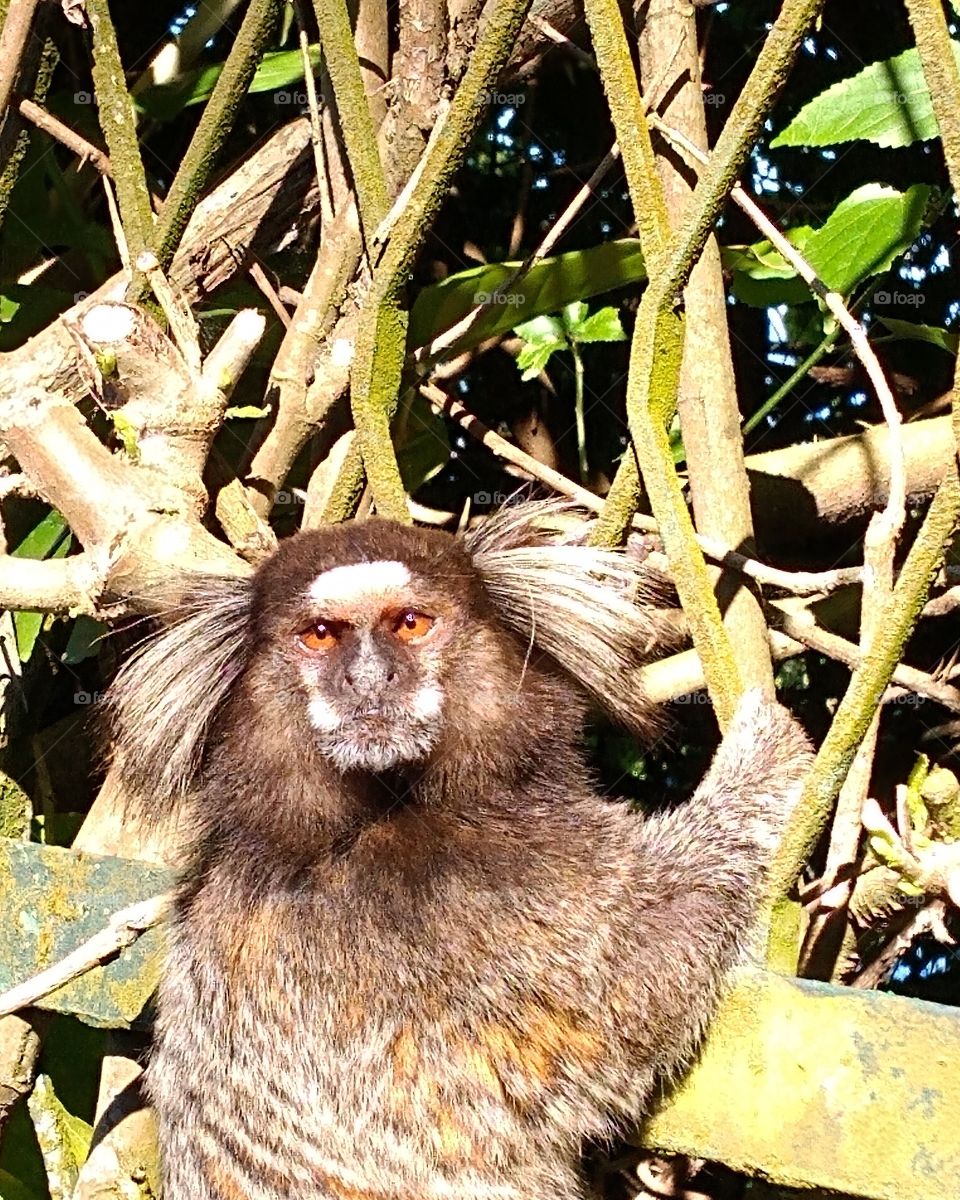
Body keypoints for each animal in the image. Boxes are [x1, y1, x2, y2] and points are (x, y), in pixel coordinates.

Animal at [107, 501, 813, 1200]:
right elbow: (646, 970)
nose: (368, 680)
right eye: (321, 635)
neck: (352, 827)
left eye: (411, 624)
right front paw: (764, 747)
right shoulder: (499, 907)